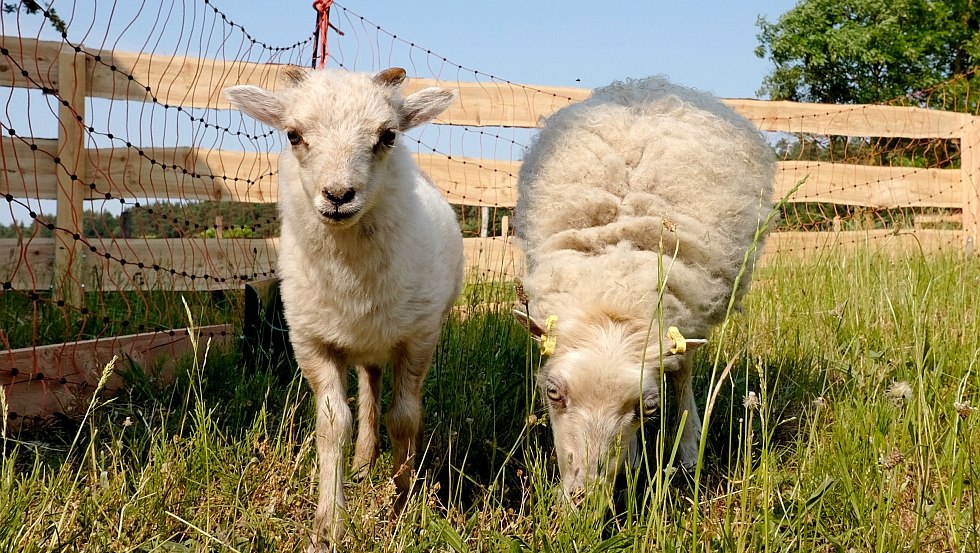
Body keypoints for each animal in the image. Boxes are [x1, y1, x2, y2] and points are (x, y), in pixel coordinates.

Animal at [223, 67, 464, 548]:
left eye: (388, 136)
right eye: (293, 135)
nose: (338, 195)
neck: (351, 280)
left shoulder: (418, 337)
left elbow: (404, 418)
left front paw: (402, 504)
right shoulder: (311, 342)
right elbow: (333, 424)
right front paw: (329, 524)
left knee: (385, 401)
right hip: (364, 346)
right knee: (369, 392)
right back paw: (361, 465)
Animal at [513, 75, 775, 497]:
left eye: (648, 407)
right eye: (553, 393)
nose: (584, 500)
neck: (614, 286)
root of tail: (651, 86)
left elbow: (681, 376)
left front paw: (687, 450)